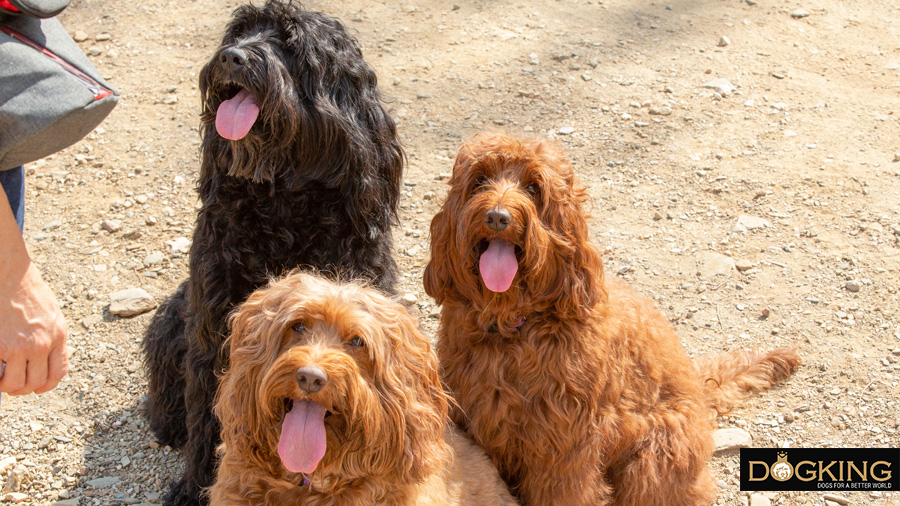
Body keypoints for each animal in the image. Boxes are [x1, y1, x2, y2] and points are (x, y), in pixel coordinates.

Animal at [142, 1, 400, 504]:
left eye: (291, 43)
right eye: (238, 33)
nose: (232, 57)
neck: (283, 207)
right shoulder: (213, 335)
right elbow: (211, 415)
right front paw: (198, 487)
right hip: (172, 319)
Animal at [424, 133, 800, 506]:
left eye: (533, 187)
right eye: (480, 181)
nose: (498, 217)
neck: (514, 326)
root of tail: (698, 385)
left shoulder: (565, 448)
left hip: (653, 458)